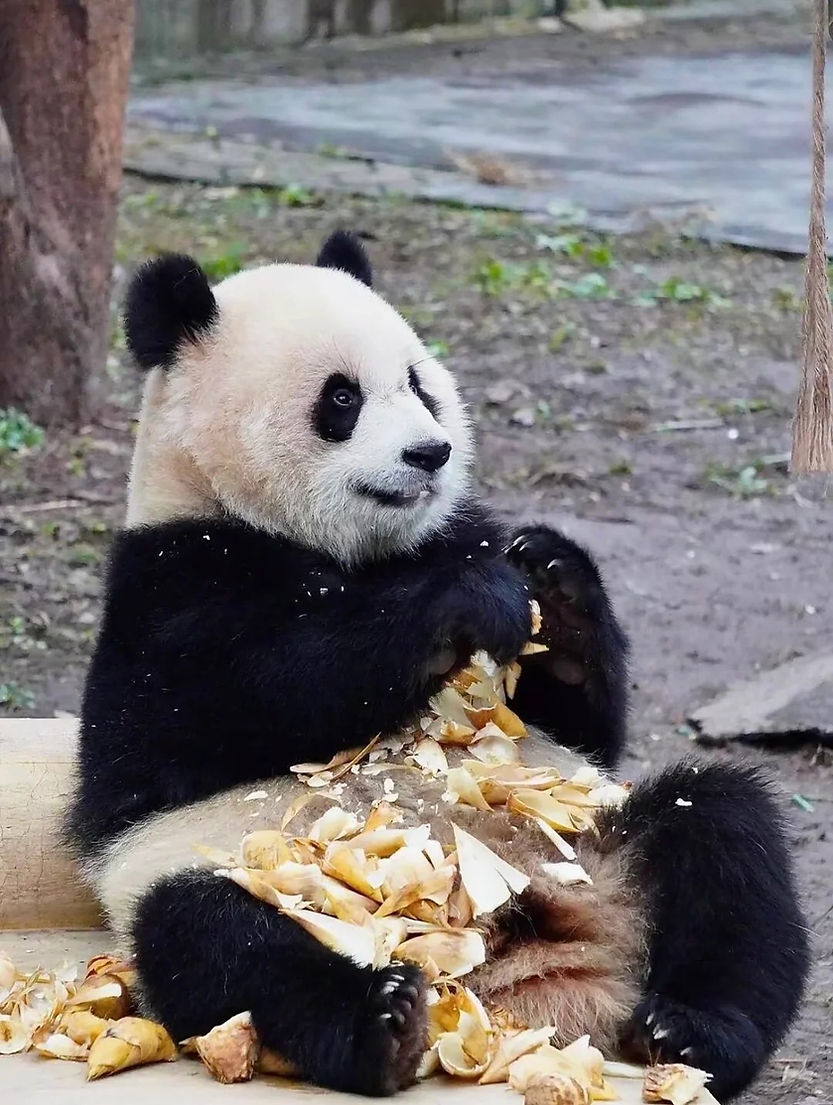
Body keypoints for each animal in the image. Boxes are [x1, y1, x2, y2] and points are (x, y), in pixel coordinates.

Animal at [66, 230, 808, 1100]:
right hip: (252, 874)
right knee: (209, 936)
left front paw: (552, 574)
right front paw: (467, 601)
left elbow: (585, 723)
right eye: (341, 398)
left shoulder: (456, 529)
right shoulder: (170, 587)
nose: (430, 451)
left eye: (419, 382)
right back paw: (383, 1021)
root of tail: (519, 979)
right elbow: (250, 695)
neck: (353, 549)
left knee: (725, 832)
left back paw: (691, 1029)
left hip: (595, 842)